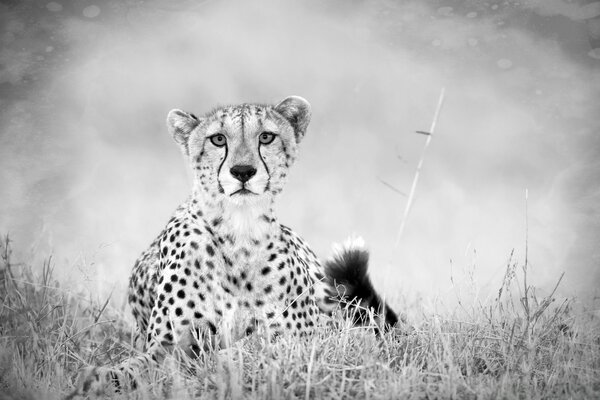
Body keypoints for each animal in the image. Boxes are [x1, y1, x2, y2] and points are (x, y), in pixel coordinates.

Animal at [71, 95, 398, 396]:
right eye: (218, 139)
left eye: (265, 137)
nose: (242, 171)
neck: (239, 230)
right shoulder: (166, 346)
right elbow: (136, 366)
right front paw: (97, 379)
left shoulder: (304, 337)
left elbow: (250, 347)